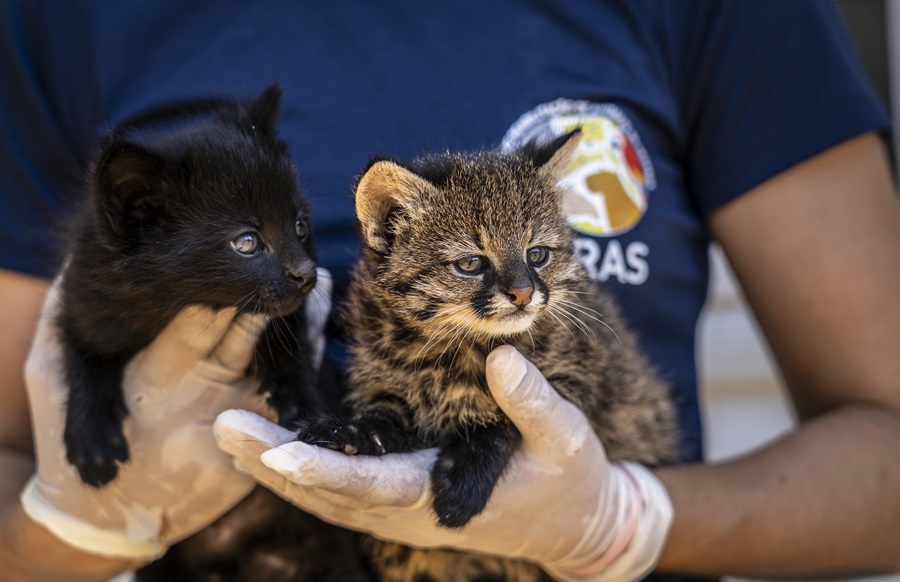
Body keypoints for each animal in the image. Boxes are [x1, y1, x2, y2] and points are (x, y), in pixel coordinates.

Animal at [59, 83, 324, 488]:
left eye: (300, 225)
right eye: (247, 242)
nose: (306, 273)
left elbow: (290, 342)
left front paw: (303, 404)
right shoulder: (85, 295)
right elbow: (85, 354)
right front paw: (93, 441)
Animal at [298, 133, 680, 582]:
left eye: (537, 255)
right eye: (470, 263)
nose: (523, 294)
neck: (455, 346)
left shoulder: (575, 383)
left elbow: (504, 420)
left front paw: (465, 479)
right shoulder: (382, 376)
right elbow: (383, 414)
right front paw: (355, 431)